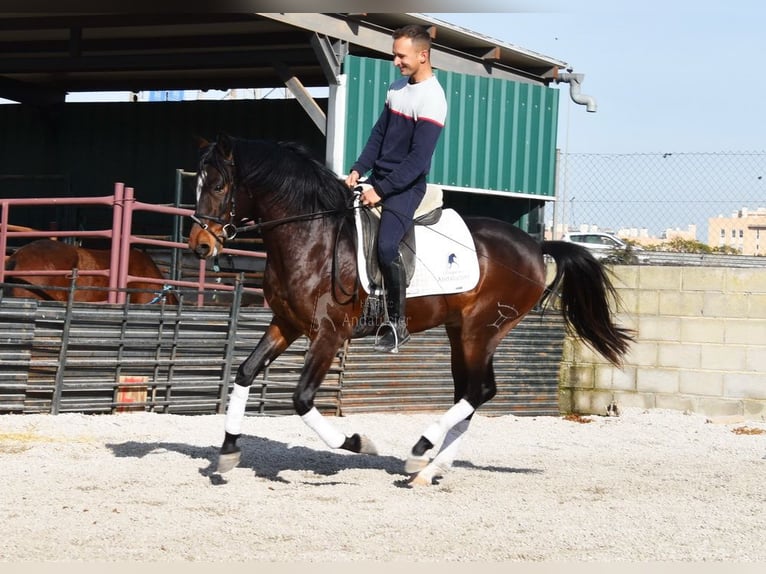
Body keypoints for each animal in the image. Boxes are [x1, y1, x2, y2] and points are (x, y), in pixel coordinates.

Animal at [189, 136, 632, 486]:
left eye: (219, 185)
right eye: (196, 185)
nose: (200, 246)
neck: (312, 236)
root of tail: (536, 246)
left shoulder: (329, 334)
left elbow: (301, 399)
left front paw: (357, 442)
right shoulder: (286, 324)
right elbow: (245, 372)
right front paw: (227, 452)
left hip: (481, 331)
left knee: (480, 391)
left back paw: (421, 449)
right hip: (462, 333)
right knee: (470, 393)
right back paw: (429, 469)